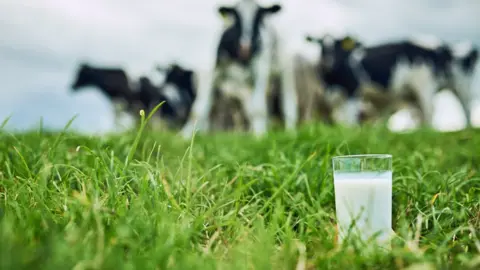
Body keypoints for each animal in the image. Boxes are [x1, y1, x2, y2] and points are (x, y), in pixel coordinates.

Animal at [180, 0, 298, 139]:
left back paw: (290, 132)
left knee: (288, 102)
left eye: (259, 17)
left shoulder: (261, 70)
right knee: (250, 107)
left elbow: (258, 108)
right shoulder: (210, 72)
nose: (246, 47)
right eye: (236, 17)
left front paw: (260, 136)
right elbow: (198, 109)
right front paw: (184, 136)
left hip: (286, 69)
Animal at [306, 33, 478, 126]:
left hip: (434, 85)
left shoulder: (352, 92)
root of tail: (444, 47)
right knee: (421, 114)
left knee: (454, 109)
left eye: (337, 45)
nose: (327, 61)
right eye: (320, 45)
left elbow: (349, 120)